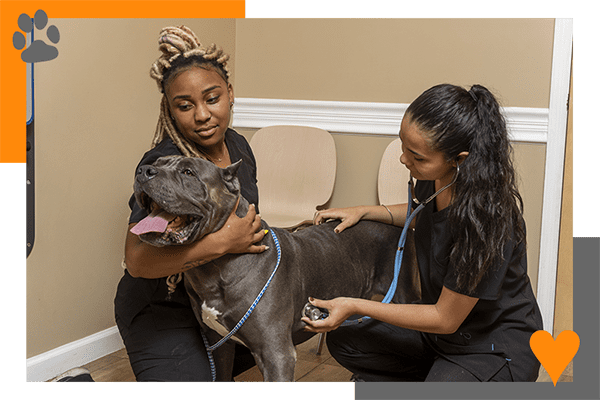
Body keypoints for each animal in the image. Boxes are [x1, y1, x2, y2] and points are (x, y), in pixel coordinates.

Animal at [134, 155, 420, 382]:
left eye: (188, 172)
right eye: (157, 162)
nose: (143, 170)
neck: (215, 269)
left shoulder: (276, 355)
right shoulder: (218, 346)